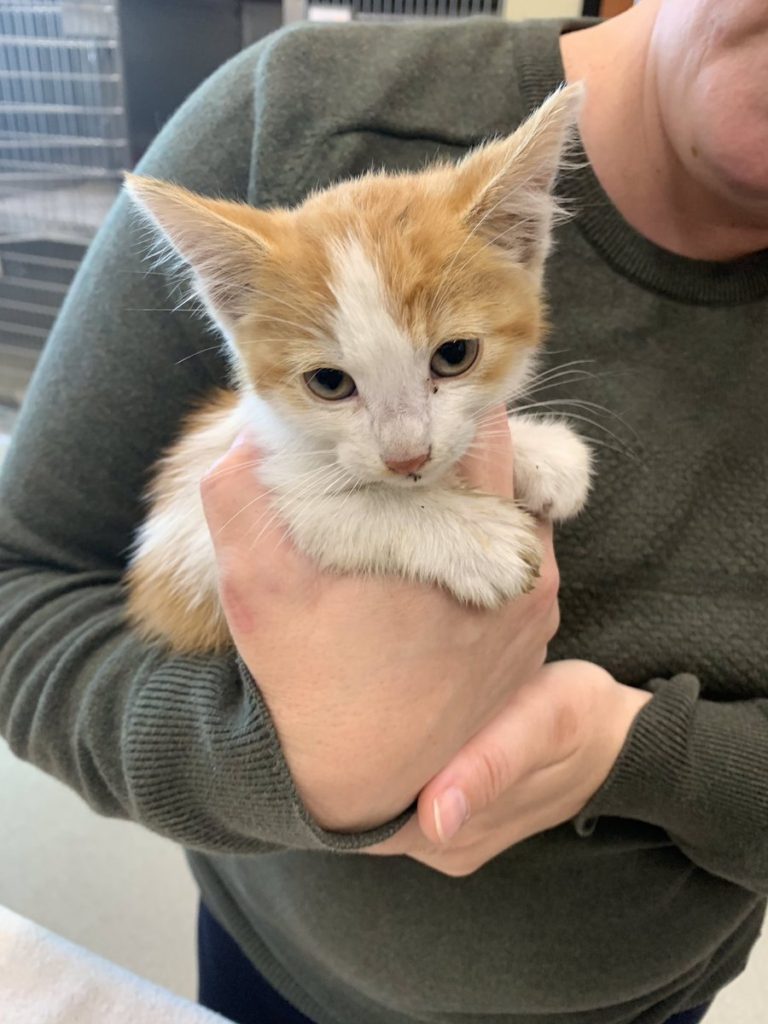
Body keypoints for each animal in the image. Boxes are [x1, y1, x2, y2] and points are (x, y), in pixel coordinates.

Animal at [123, 83, 592, 655]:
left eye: (454, 355)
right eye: (329, 383)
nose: (407, 458)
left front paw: (543, 452)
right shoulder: (250, 496)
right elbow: (338, 512)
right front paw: (472, 533)